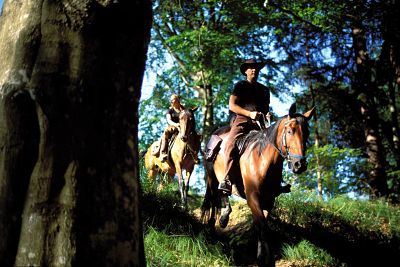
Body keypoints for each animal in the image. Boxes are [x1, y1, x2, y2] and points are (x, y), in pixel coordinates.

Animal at [202, 104, 314, 267]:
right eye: (290, 131)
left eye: (307, 133)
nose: (300, 165)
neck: (263, 160)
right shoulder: (253, 198)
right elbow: (264, 228)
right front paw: (268, 260)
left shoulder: (268, 202)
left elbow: (261, 228)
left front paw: (261, 258)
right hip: (212, 178)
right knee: (214, 199)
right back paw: (213, 229)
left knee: (222, 195)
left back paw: (224, 217)